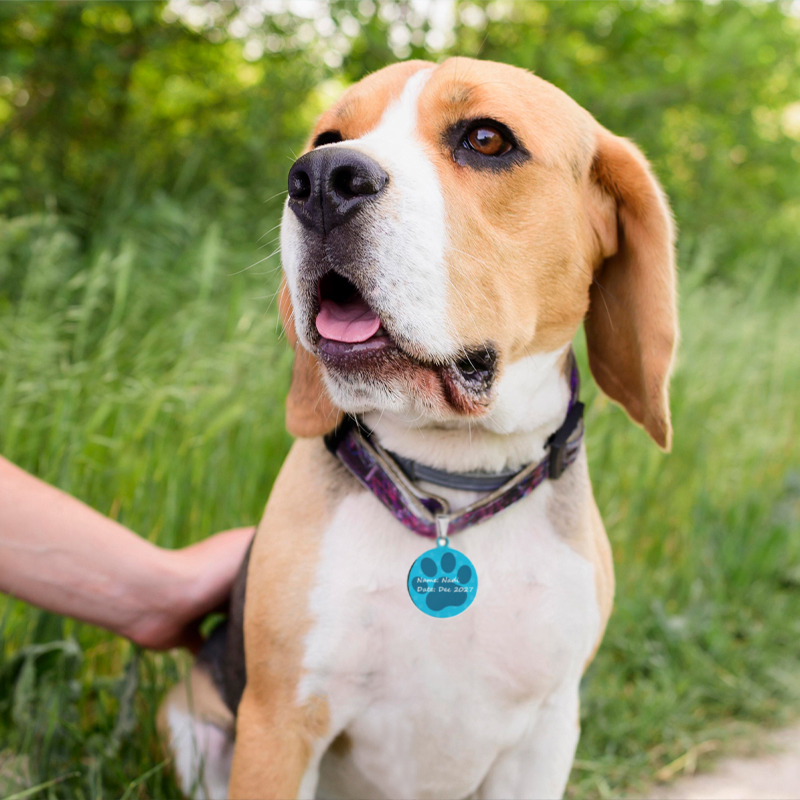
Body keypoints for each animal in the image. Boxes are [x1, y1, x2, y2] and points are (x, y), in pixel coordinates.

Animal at [159, 57, 680, 800]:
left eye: (487, 139)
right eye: (328, 136)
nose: (320, 179)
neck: (451, 484)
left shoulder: (547, 734)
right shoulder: (279, 725)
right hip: (187, 722)